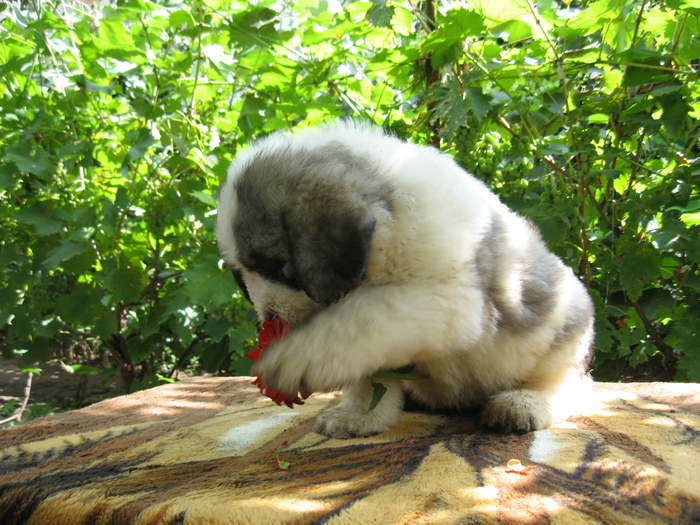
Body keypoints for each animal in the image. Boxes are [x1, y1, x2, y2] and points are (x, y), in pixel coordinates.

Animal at [216, 119, 592, 438]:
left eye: (277, 267)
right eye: (242, 278)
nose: (270, 317)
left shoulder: (448, 300)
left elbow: (360, 321)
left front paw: (298, 357)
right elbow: (369, 372)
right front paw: (359, 415)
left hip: (566, 331)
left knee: (567, 387)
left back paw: (524, 403)